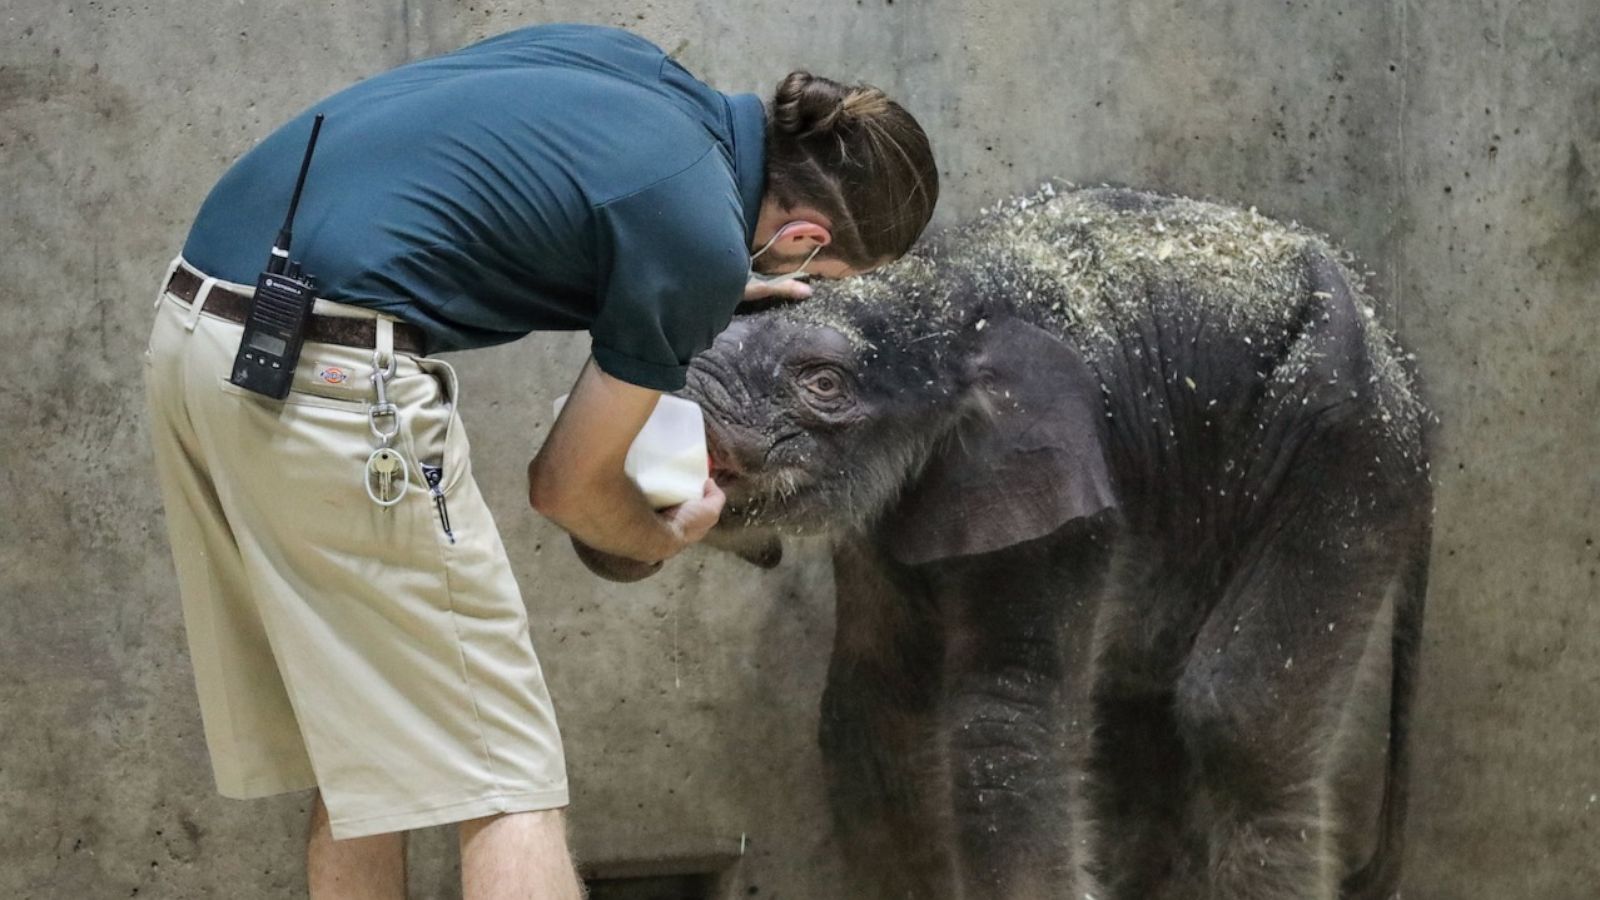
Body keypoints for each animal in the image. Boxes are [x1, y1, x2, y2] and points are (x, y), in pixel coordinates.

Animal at [630, 185, 1433, 890]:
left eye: (823, 384)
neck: (948, 294)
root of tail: (1407, 377)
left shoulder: (1067, 496)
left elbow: (1004, 728)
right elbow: (873, 716)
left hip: (1346, 455)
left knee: (1234, 719)